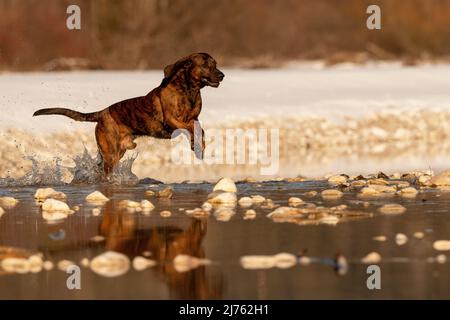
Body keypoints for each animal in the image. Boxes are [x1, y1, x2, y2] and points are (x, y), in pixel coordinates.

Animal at [32, 53, 224, 176]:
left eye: (215, 64)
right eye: (206, 65)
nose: (222, 75)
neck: (189, 90)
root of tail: (101, 113)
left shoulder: (194, 118)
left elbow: (199, 129)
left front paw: (198, 147)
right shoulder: (172, 120)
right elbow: (191, 127)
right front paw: (196, 144)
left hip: (118, 151)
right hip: (111, 153)